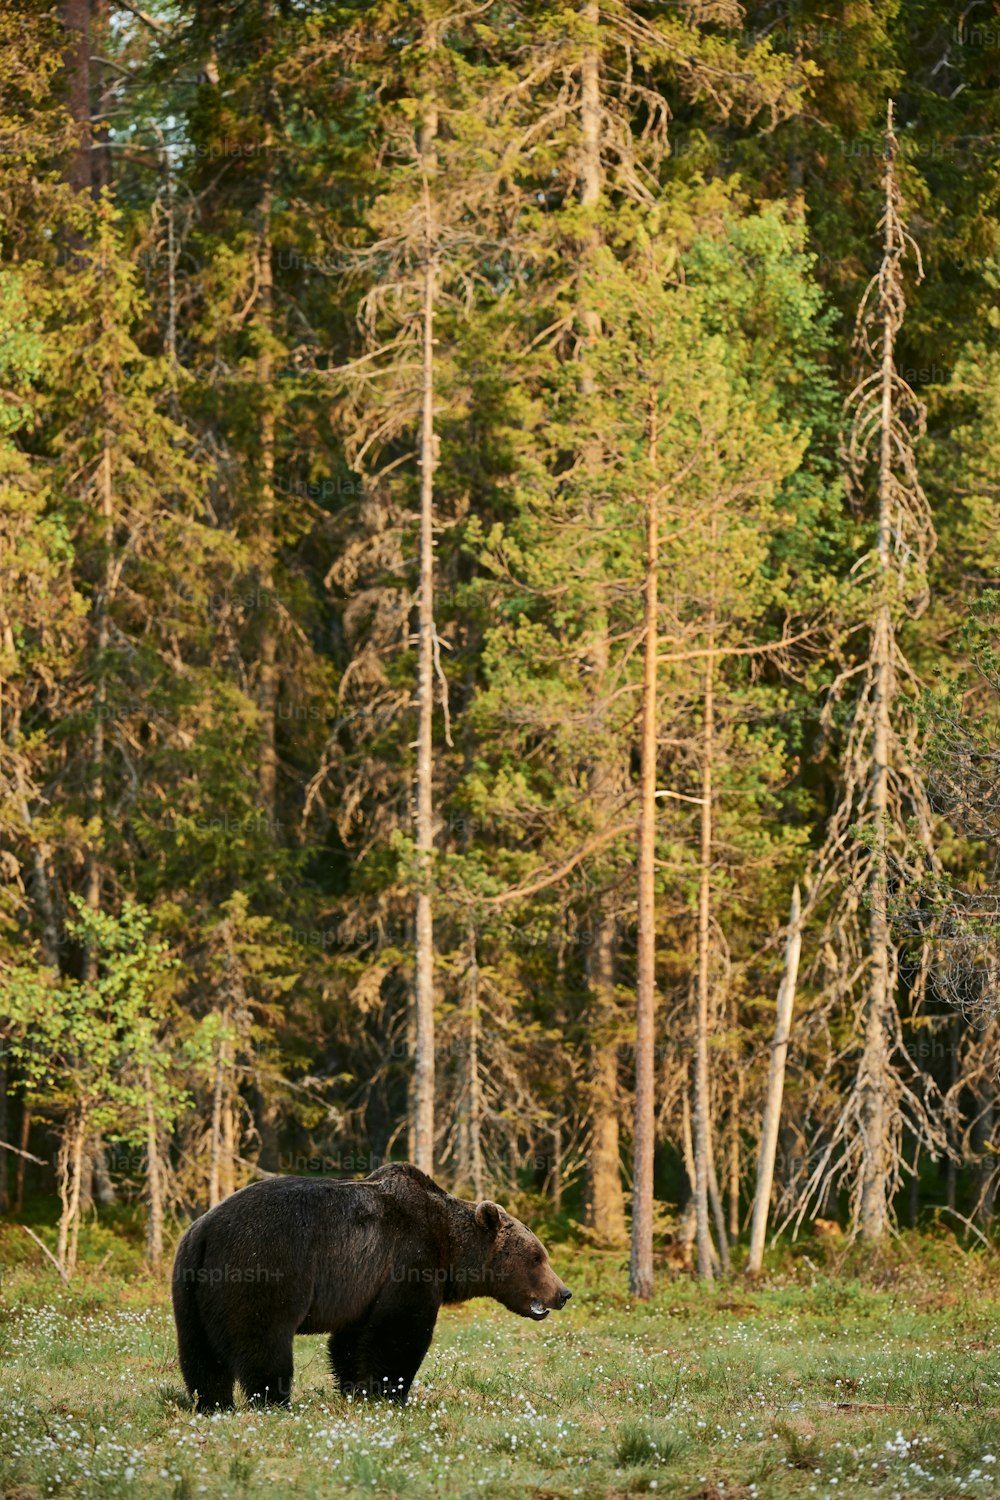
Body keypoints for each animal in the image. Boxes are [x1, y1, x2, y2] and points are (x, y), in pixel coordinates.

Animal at [172, 1158, 569, 1404]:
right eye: (537, 1257)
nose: (563, 1293)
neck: (449, 1246)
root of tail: (205, 1231)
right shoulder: (408, 1259)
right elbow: (400, 1333)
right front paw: (392, 1394)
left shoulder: (363, 1286)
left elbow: (352, 1340)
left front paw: (355, 1388)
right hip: (262, 1267)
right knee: (264, 1342)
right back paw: (274, 1400)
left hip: (191, 1285)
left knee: (199, 1354)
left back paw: (213, 1403)